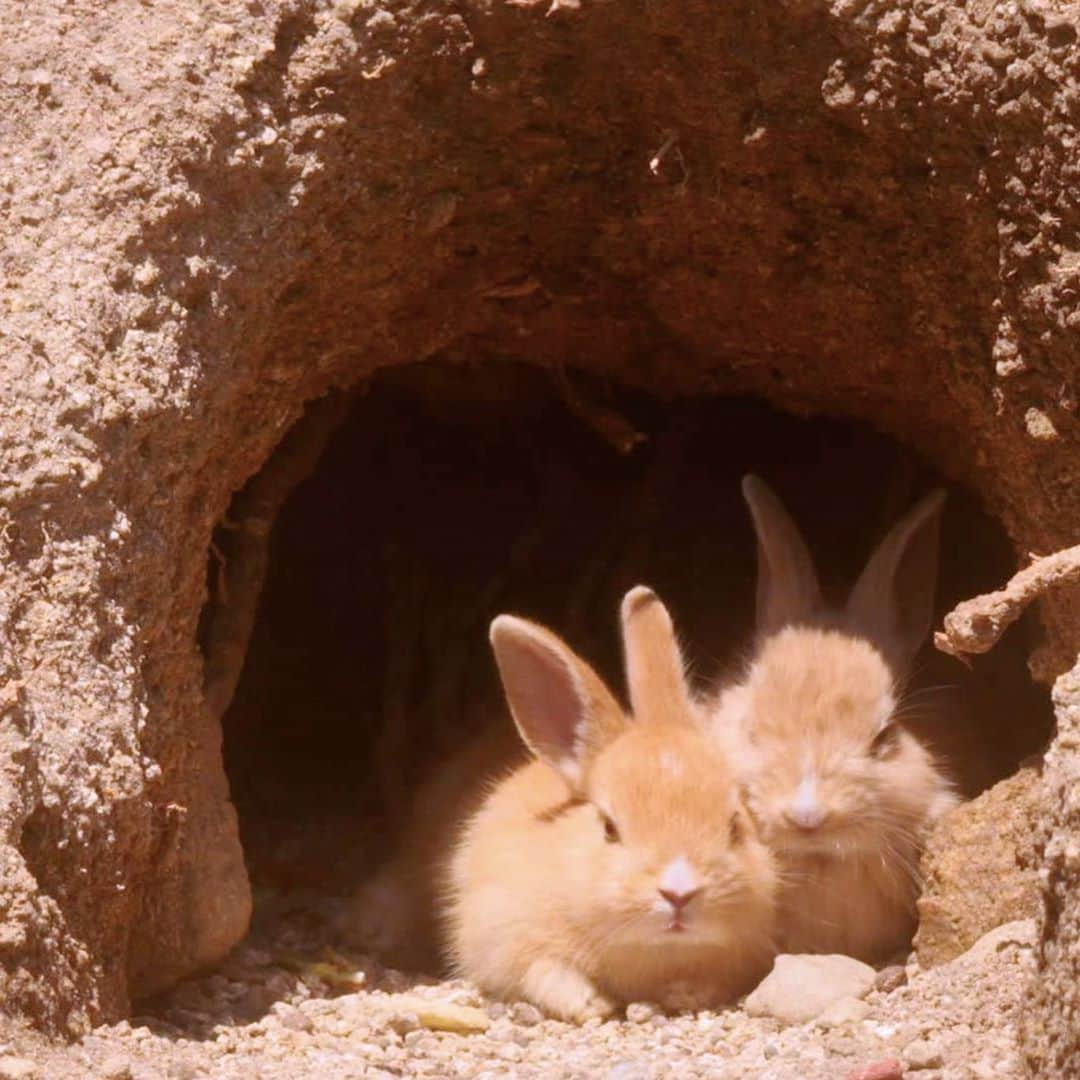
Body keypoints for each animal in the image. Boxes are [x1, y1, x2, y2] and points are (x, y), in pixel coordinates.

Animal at [442, 591, 781, 1019]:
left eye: (735, 825)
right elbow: (543, 970)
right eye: (609, 828)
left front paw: (685, 995)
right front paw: (591, 1004)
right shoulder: (504, 931)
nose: (679, 893)